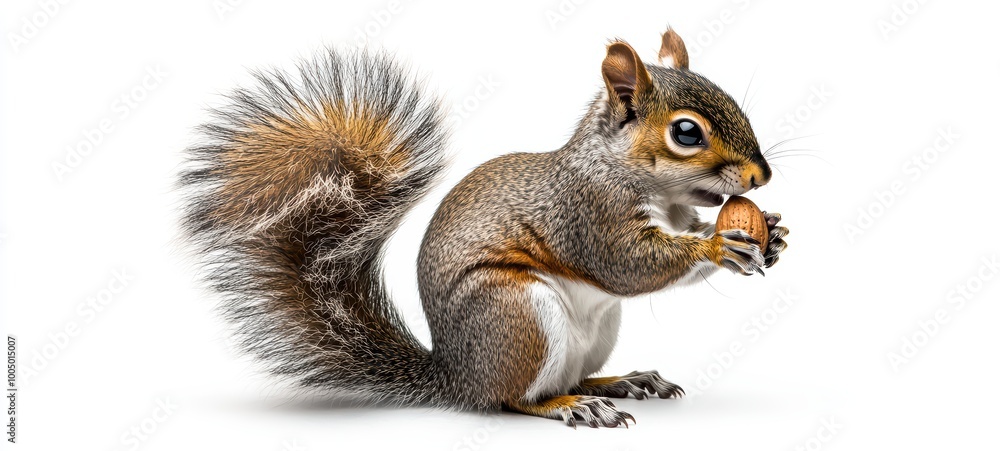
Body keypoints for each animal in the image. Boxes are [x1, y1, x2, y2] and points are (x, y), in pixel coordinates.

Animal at [180, 28, 788, 428]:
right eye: (686, 133)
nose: (762, 175)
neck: (640, 183)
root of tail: (456, 376)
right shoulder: (586, 213)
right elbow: (627, 265)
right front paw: (718, 244)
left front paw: (771, 233)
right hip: (516, 312)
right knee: (514, 398)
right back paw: (571, 406)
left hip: (594, 332)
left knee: (568, 375)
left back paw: (620, 382)